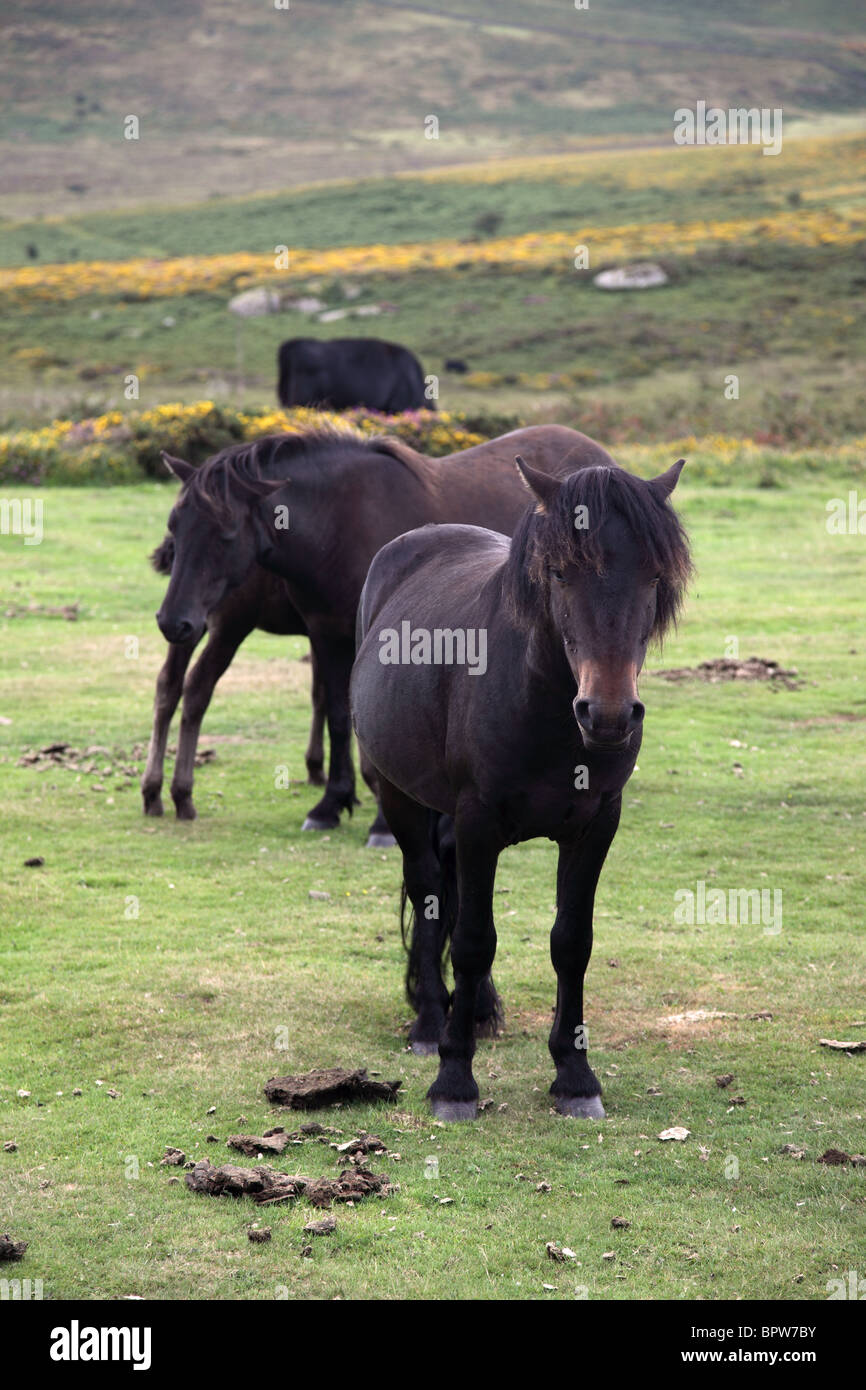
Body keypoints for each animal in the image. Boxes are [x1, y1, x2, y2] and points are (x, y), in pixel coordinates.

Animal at [141, 535, 327, 820]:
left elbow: (320, 695)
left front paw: (315, 767)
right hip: (231, 625)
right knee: (197, 685)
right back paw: (183, 795)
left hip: (186, 624)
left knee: (168, 682)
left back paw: (152, 791)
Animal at [350, 454, 692, 1119]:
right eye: (560, 573)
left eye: (653, 575)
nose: (607, 715)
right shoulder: (479, 820)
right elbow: (472, 939)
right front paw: (454, 1081)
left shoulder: (596, 825)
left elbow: (572, 942)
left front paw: (575, 1077)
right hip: (398, 797)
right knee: (429, 890)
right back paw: (430, 1024)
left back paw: (477, 1010)